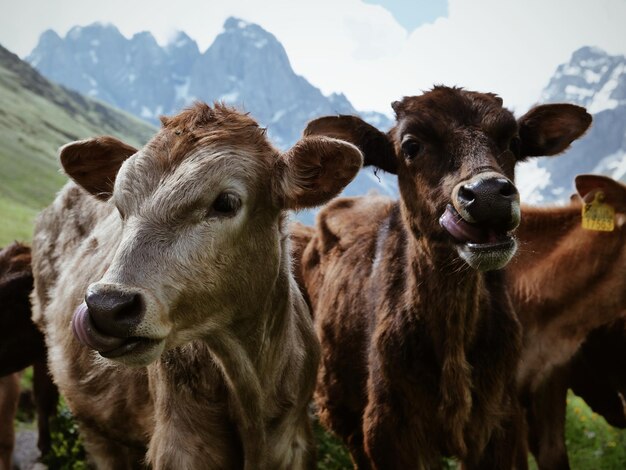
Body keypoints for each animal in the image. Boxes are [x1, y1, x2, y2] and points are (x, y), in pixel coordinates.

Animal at [292, 86, 588, 468]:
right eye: (411, 145)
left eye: (513, 140)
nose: (489, 194)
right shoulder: (387, 431)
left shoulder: (500, 424)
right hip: (342, 412)